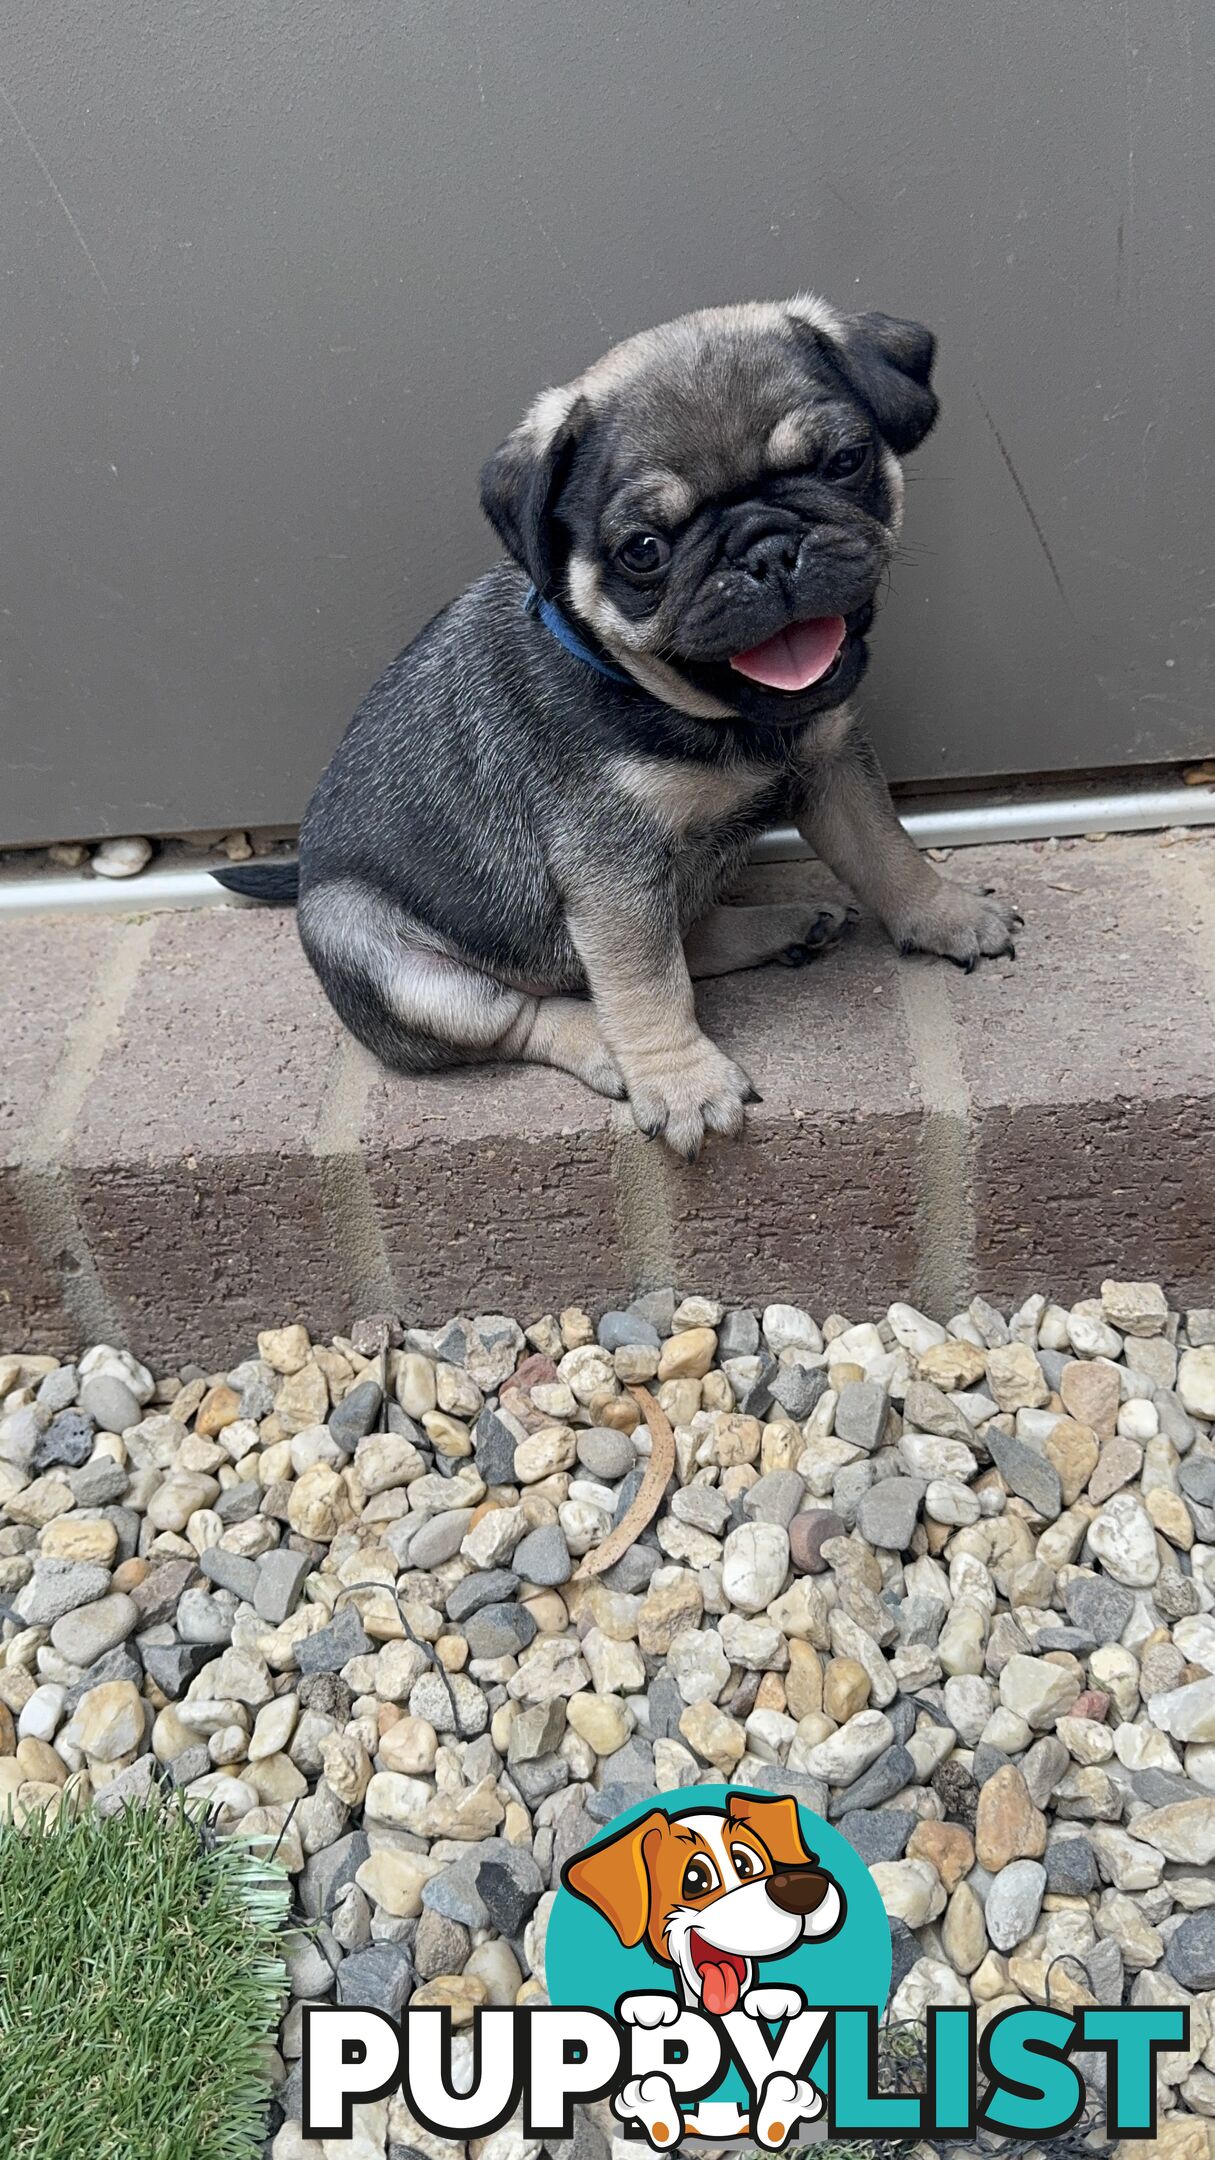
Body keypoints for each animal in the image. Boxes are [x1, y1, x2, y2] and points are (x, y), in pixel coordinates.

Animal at [215, 300, 1011, 1166]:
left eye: (843, 462)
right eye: (643, 551)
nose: (765, 546)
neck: (707, 713)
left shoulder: (833, 765)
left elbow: (884, 852)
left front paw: (944, 912)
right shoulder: (609, 864)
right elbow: (641, 978)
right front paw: (679, 1079)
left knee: (682, 936)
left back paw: (781, 926)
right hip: (375, 951)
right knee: (523, 1013)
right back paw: (607, 1047)